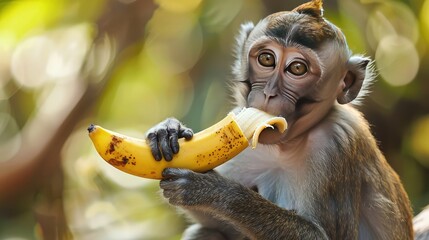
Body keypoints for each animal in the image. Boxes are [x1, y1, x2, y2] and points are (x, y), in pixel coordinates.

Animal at [145, 0, 412, 239]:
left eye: (297, 68)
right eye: (266, 59)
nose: (269, 93)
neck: (288, 146)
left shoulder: (337, 143)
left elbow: (323, 236)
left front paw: (214, 190)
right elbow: (218, 224)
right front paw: (168, 131)